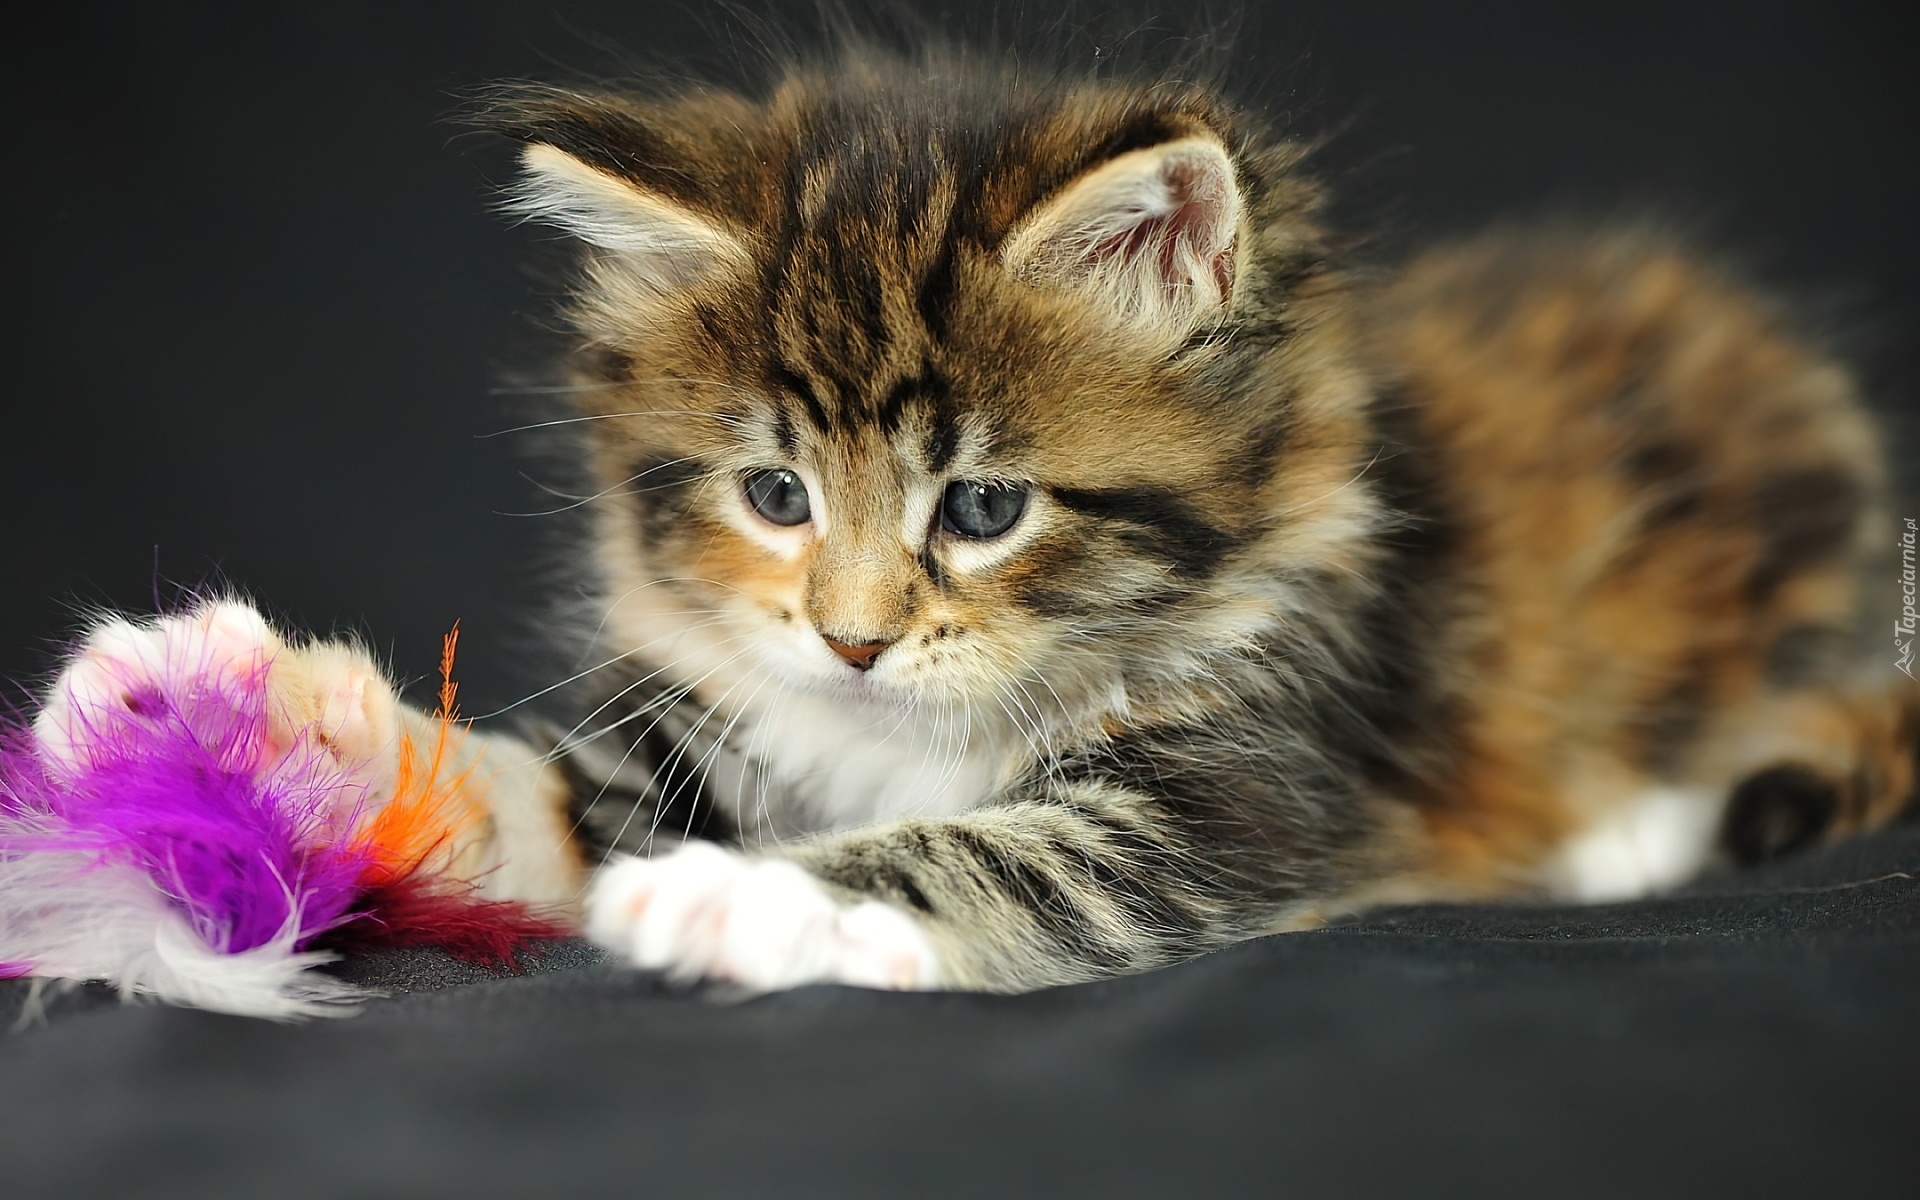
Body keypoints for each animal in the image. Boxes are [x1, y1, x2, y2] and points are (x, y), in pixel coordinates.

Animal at [127, 53, 1912, 990]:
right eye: (775, 496)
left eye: (982, 507)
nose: (851, 639)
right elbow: (529, 798)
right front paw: (243, 729)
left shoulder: (1238, 791)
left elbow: (987, 847)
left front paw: (765, 900)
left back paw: (1624, 832)